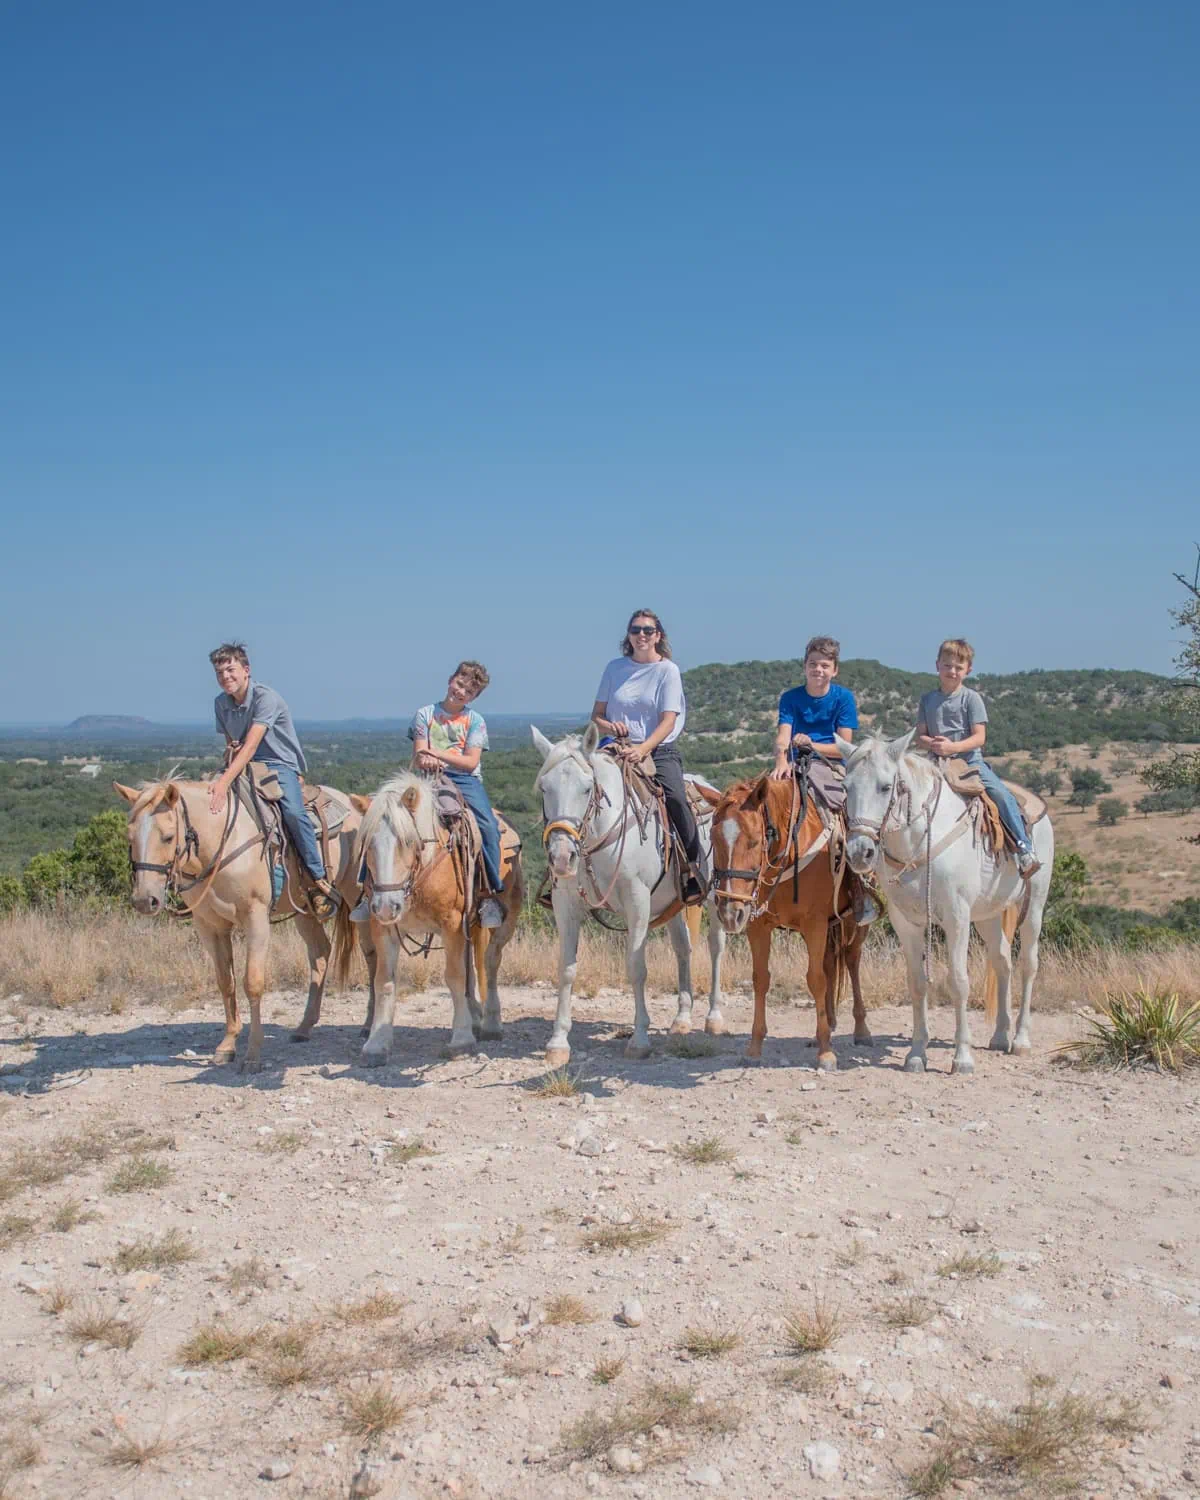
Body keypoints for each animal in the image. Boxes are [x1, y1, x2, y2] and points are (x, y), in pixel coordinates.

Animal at [117, 780, 372, 1074]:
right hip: (303, 909)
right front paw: (227, 1046)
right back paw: (304, 1027)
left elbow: (252, 982)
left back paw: (368, 1026)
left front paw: (252, 1054)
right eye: (130, 837)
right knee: (320, 954)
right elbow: (225, 982)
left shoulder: (256, 918)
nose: (145, 900)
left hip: (358, 899)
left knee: (372, 956)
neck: (223, 844)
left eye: (168, 837)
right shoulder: (209, 925)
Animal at [534, 723, 732, 1068]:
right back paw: (682, 1018)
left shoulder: (637, 902)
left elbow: (637, 968)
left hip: (711, 897)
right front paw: (558, 1042)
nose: (561, 857)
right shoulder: (566, 904)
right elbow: (567, 969)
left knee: (716, 947)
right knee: (683, 948)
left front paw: (639, 1040)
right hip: (673, 901)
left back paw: (714, 1016)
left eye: (587, 788)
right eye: (545, 788)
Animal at [708, 768, 870, 1074]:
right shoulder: (759, 926)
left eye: (755, 840)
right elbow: (760, 979)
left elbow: (815, 979)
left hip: (853, 923)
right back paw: (829, 1022)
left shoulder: (815, 923)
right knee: (830, 964)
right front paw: (754, 1047)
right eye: (713, 841)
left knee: (851, 962)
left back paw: (861, 1029)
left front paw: (826, 1053)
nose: (730, 913)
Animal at [840, 732, 1056, 1074]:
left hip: (1034, 905)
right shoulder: (907, 923)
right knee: (1003, 962)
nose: (860, 852)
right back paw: (1000, 1036)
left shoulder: (957, 918)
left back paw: (1021, 1040)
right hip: (988, 915)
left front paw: (962, 1057)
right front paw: (916, 1054)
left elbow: (958, 981)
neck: (917, 844)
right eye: (846, 787)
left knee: (1028, 964)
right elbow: (917, 983)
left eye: (885, 787)